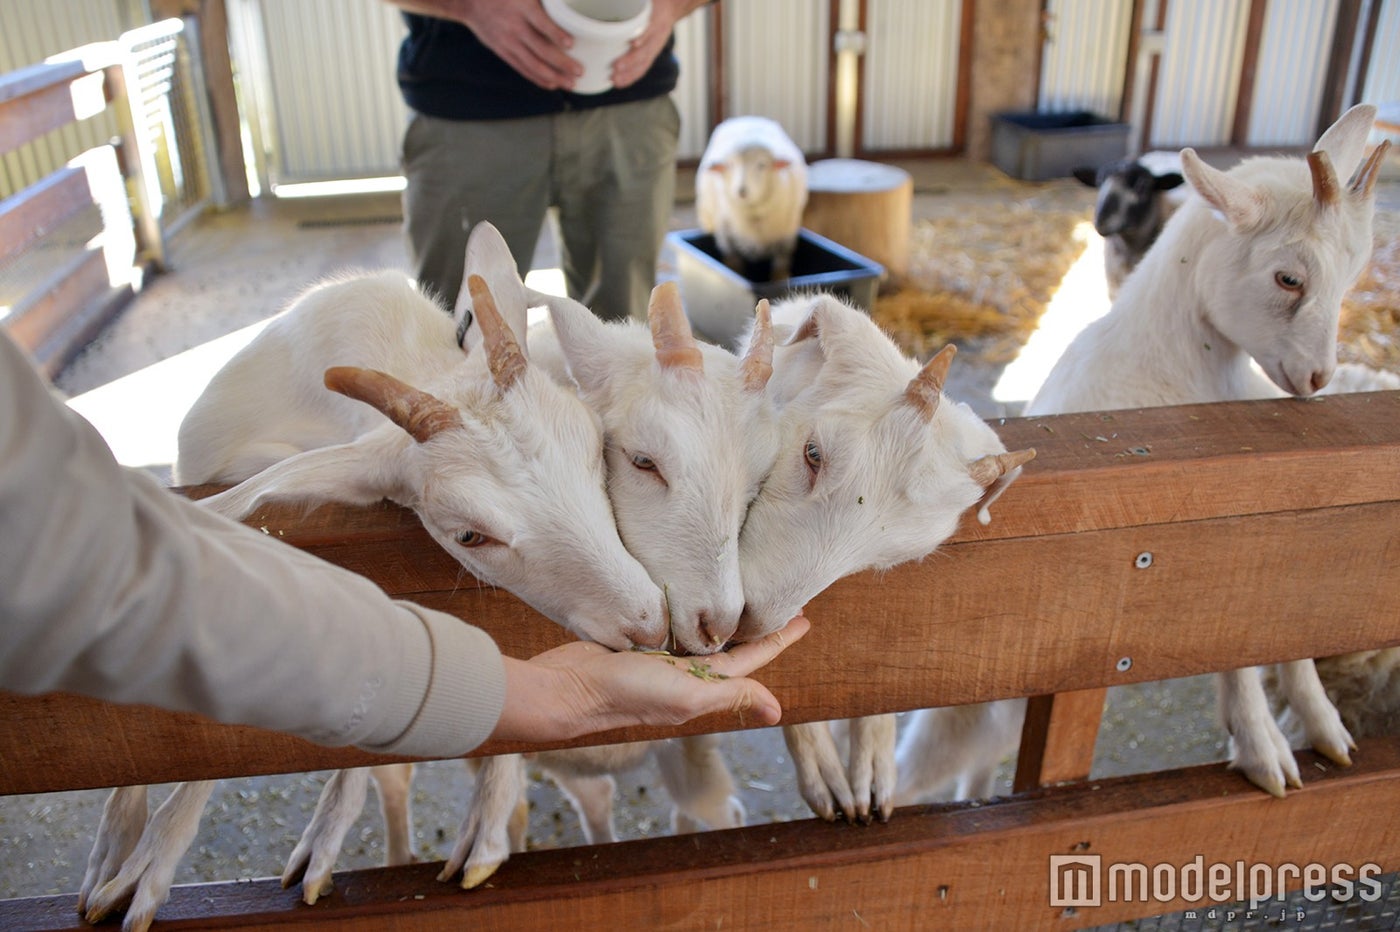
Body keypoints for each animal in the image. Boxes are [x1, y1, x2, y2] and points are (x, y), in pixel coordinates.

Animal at [691, 114, 806, 279]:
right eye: (730, 165)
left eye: (762, 165)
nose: (742, 191)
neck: (753, 212)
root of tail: (747, 117)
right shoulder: (727, 235)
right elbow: (734, 263)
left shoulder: (786, 235)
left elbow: (781, 264)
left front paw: (781, 277)